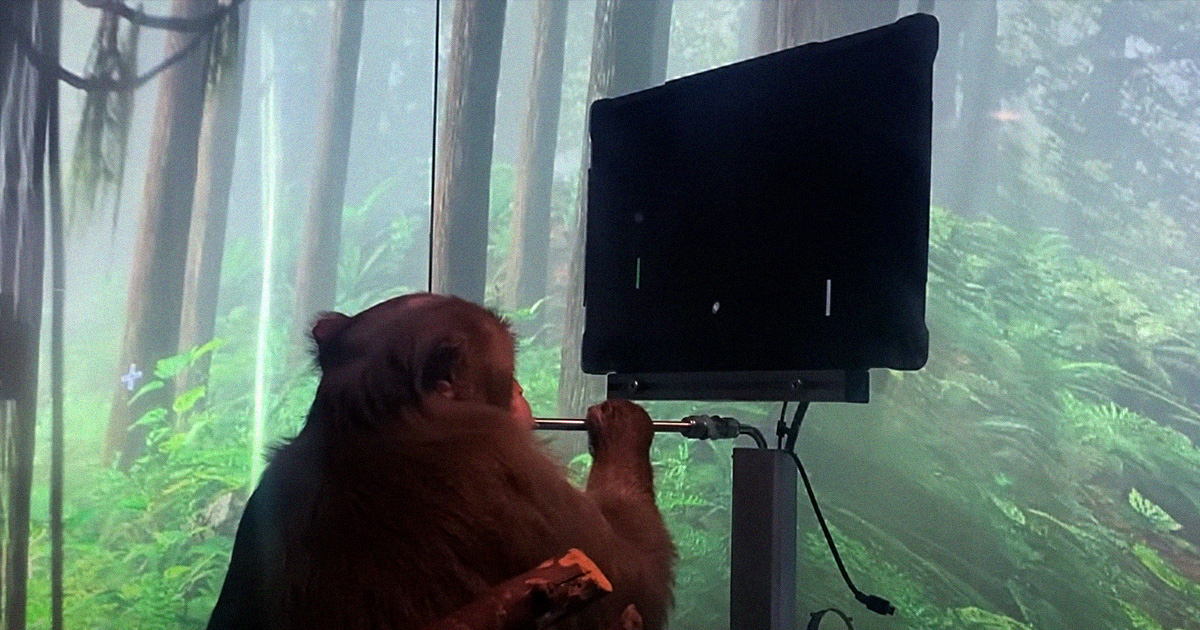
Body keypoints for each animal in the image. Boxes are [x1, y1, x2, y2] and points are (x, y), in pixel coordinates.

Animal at [206, 293, 675, 630]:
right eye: (509, 374)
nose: (521, 393)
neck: (370, 415)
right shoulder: (508, 462)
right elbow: (634, 578)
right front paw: (622, 427)